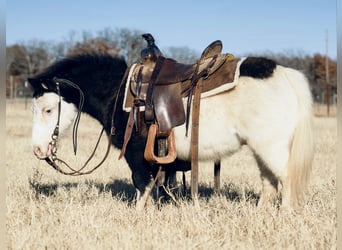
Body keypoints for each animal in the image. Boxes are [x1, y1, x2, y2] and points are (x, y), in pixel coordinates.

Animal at [28, 52, 314, 211]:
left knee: (285, 179)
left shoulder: (136, 156)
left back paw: (285, 214)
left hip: (271, 147)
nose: (38, 149)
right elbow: (161, 187)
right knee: (269, 181)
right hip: (260, 150)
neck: (117, 92)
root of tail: (283, 73)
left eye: (48, 110)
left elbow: (142, 186)